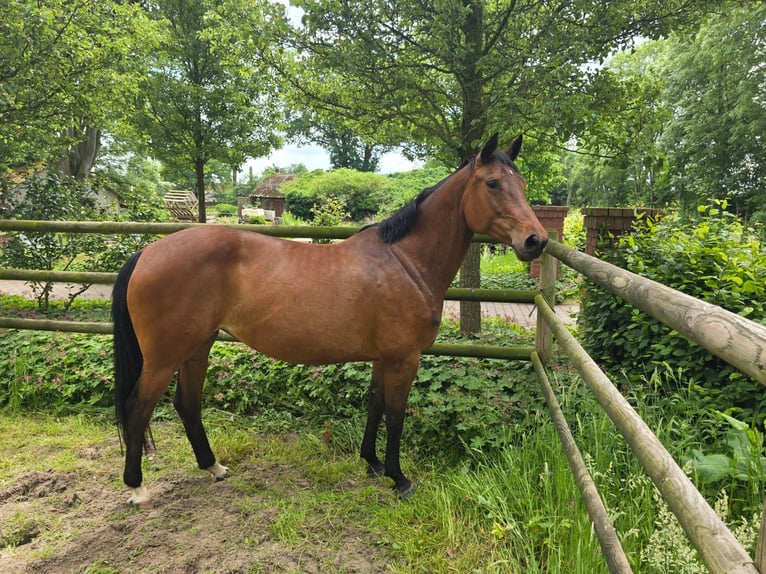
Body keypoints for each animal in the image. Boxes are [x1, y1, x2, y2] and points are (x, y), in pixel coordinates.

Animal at [111, 133, 548, 506]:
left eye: (522, 184)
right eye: (493, 183)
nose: (536, 241)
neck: (405, 261)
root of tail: (147, 252)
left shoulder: (384, 358)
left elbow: (375, 404)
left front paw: (372, 462)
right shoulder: (404, 359)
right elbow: (395, 415)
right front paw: (399, 478)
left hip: (197, 347)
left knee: (187, 404)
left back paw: (213, 466)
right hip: (165, 357)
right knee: (139, 408)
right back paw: (137, 488)